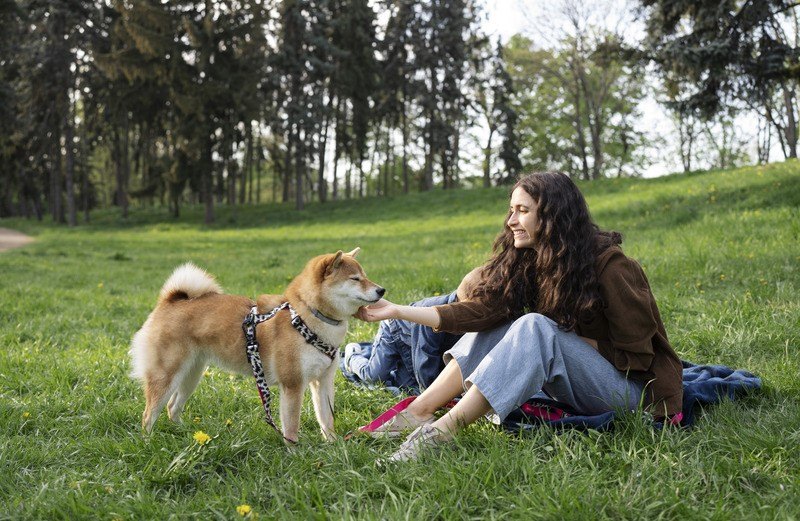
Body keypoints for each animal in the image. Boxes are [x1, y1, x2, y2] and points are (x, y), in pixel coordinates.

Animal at [129, 246, 384, 440]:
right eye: (355, 279)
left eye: (365, 276)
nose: (382, 290)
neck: (307, 317)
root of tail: (170, 301)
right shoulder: (293, 384)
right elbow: (291, 425)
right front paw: (295, 452)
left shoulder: (322, 381)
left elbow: (326, 419)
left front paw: (333, 446)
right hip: (167, 376)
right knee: (149, 414)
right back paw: (149, 441)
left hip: (192, 374)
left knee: (172, 407)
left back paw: (187, 433)